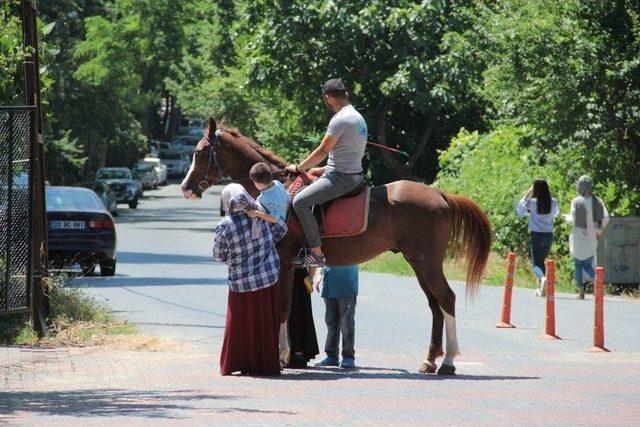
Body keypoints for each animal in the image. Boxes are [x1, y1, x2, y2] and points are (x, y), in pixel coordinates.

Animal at [182, 118, 492, 376]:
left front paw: (281, 356)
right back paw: (430, 360)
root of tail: (439, 194)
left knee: (446, 299)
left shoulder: (284, 263)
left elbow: (282, 308)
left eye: (200, 152)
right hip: (419, 263)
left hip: (426, 263)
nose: (185, 187)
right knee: (435, 305)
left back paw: (448, 362)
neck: (277, 189)